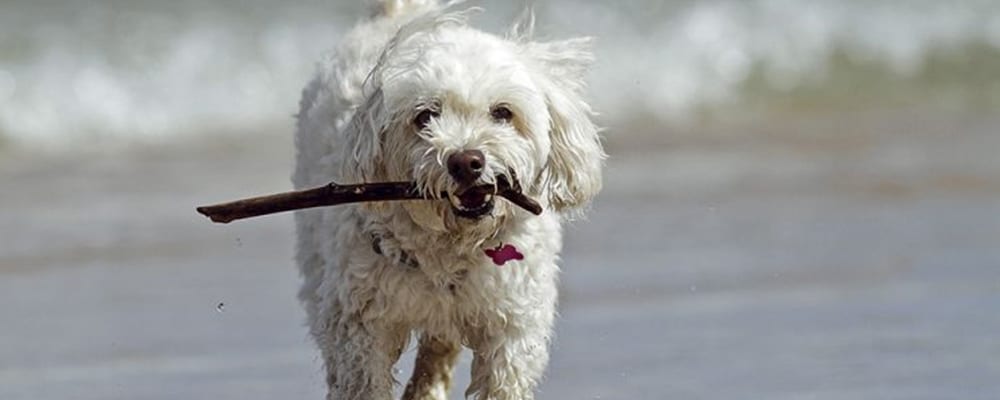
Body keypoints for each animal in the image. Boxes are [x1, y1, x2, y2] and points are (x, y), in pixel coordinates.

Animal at [290, 1, 600, 398]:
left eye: (502, 112)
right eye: (425, 116)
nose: (466, 161)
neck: (453, 245)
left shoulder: (512, 326)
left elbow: (502, 379)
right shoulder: (360, 324)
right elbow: (364, 379)